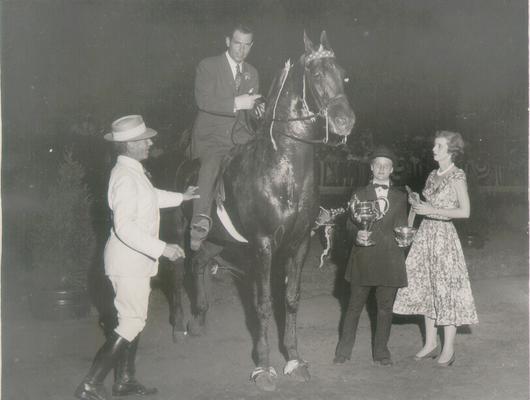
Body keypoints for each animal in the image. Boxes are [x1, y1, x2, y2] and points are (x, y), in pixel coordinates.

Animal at [169, 31, 352, 390]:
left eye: (343, 73)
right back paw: (180, 325)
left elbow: (291, 301)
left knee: (198, 265)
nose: (345, 121)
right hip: (175, 232)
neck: (283, 169)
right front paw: (264, 367)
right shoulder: (263, 246)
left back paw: (199, 319)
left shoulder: (299, 244)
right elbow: (265, 305)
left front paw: (294, 360)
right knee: (176, 273)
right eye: (317, 74)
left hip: (216, 241)